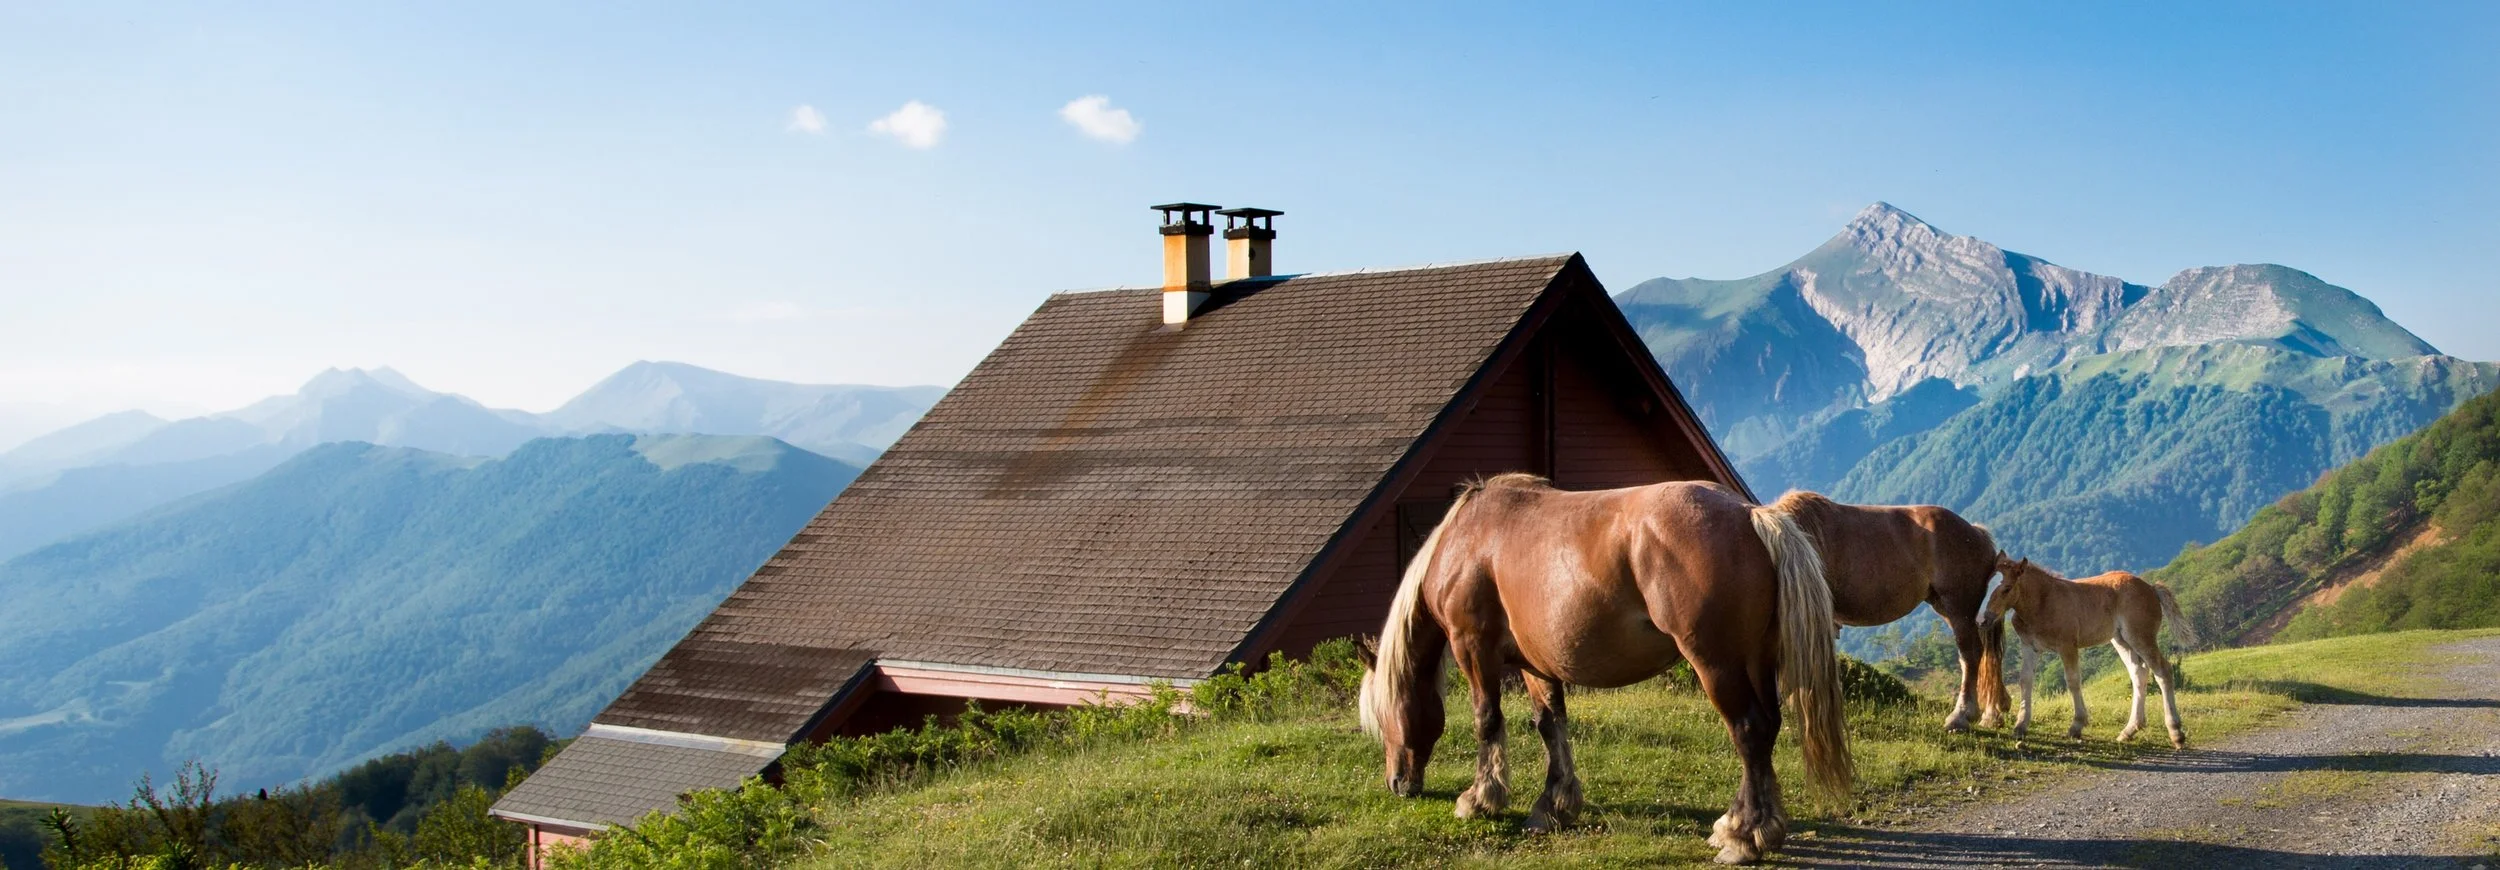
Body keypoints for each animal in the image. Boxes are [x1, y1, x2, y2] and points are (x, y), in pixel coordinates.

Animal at [1356, 474, 1851, 865]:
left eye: (1383, 715)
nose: (1397, 782)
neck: (1468, 542)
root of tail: (1751, 516)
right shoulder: (1537, 665)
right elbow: (1550, 725)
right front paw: (1554, 805)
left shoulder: (1474, 649)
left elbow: (1487, 721)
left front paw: (1480, 799)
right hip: (1756, 661)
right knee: (1768, 729)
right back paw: (1755, 826)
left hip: (1718, 665)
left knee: (1749, 731)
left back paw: (1744, 838)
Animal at [1755, 492, 2010, 731]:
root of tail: (1977, 534)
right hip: (1947, 608)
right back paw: (1990, 713)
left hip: (1959, 609)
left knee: (1970, 655)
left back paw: (1962, 715)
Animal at [1979, 555, 2198, 747]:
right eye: (1985, 587)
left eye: (2007, 588)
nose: (1983, 620)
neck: (2042, 601)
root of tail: (2151, 588)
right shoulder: (2029, 646)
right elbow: (2025, 680)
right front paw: (2021, 726)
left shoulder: (2067, 645)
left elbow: (2073, 681)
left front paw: (2076, 726)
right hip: (2121, 640)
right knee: (2139, 674)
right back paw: (2129, 731)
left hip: (2141, 636)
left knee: (2163, 671)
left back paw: (2176, 733)